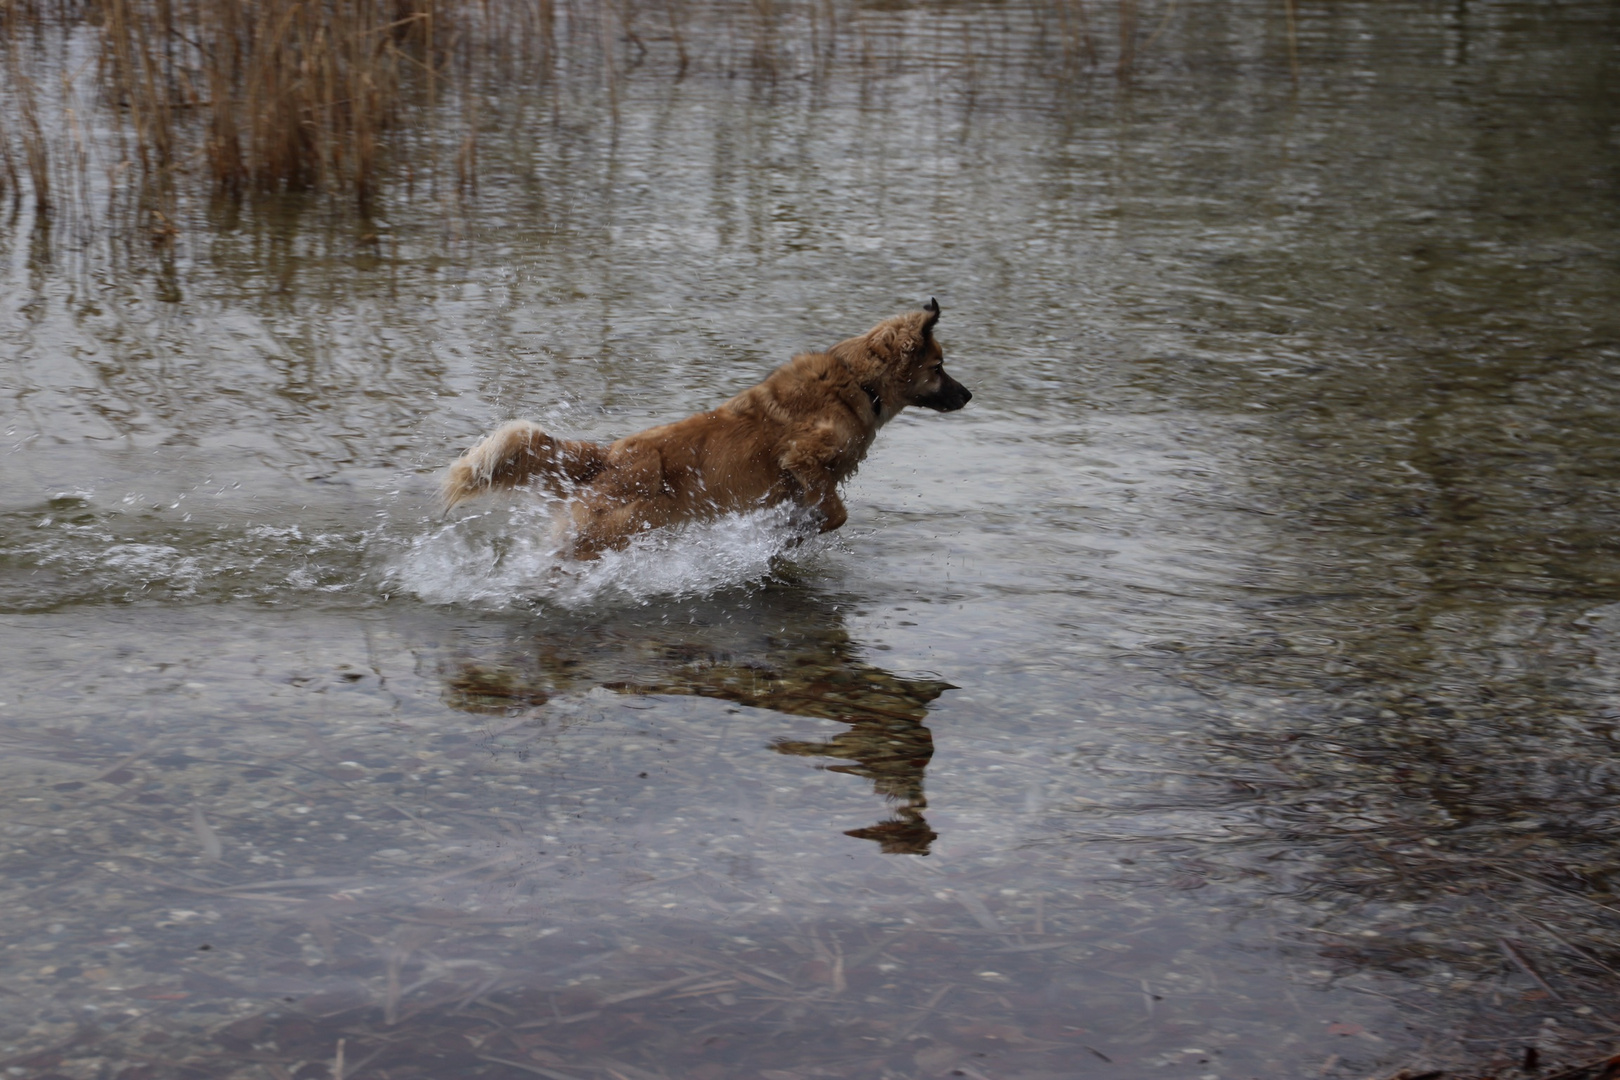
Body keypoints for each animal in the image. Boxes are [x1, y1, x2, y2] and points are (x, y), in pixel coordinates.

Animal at [443, 302, 965, 563]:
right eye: (938, 367)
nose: (969, 395)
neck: (857, 381)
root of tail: (609, 457)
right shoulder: (803, 458)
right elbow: (834, 514)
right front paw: (793, 535)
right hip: (612, 532)